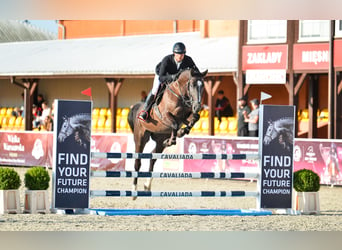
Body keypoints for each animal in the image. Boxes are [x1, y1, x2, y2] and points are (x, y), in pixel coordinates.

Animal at [127, 68, 207, 197]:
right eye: (192, 85)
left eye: (203, 86)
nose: (197, 107)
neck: (179, 95)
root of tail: (137, 107)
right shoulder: (165, 115)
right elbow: (174, 124)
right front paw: (176, 137)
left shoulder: (185, 117)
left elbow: (194, 118)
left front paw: (182, 132)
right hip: (140, 137)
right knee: (137, 162)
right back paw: (134, 191)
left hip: (159, 139)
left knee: (153, 157)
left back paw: (147, 186)